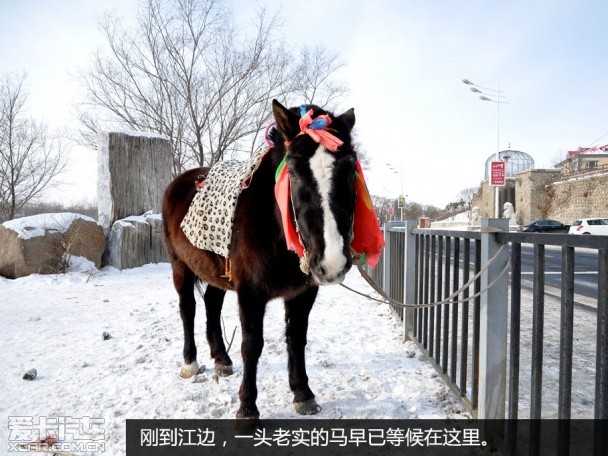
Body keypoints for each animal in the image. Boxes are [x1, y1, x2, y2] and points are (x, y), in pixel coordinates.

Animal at [162, 99, 368, 416]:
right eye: (293, 172)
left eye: (348, 170)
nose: (332, 262)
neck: (275, 228)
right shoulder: (250, 293)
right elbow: (251, 345)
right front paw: (247, 407)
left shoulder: (303, 293)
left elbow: (296, 338)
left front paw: (303, 394)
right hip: (179, 266)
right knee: (188, 308)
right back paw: (190, 363)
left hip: (217, 271)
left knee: (211, 303)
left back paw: (221, 359)